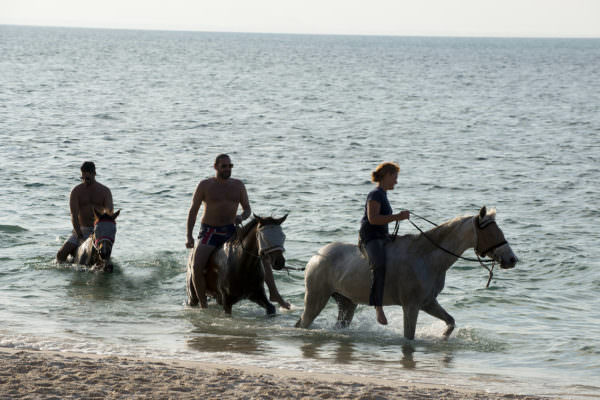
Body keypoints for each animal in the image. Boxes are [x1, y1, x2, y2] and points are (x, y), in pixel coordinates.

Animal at [294, 206, 516, 340]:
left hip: (347, 303)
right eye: (491, 232)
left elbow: (450, 322)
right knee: (303, 322)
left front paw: (443, 338)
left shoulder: (427, 302)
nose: (512, 259)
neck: (426, 257)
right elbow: (409, 337)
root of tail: (315, 257)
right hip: (316, 299)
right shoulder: (411, 306)